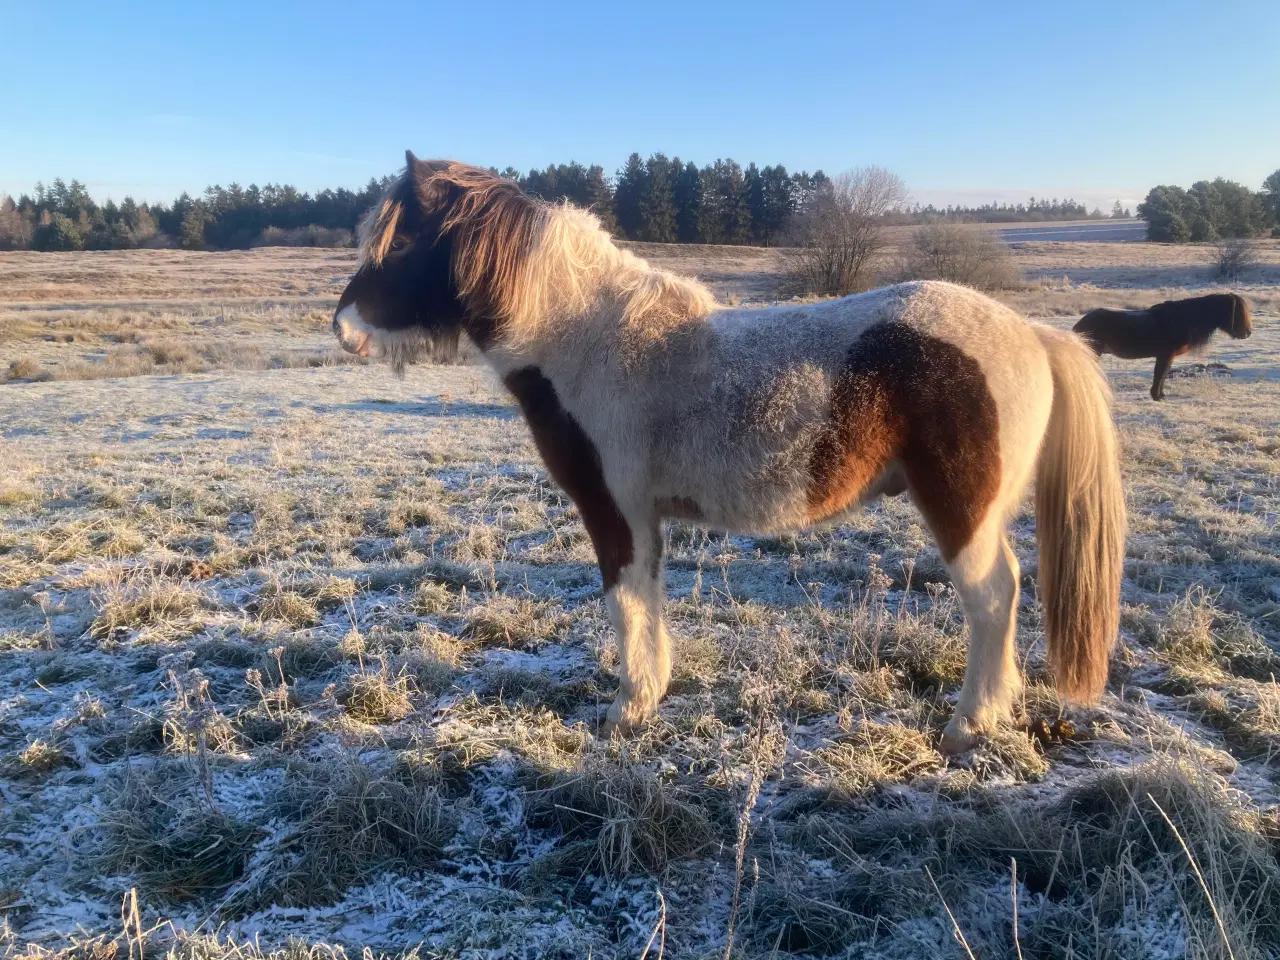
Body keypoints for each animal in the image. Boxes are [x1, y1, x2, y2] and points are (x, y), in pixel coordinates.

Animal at [335, 152, 1126, 752]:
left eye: (399, 244)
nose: (343, 328)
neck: (588, 341)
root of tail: (1033, 335)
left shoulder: (615, 513)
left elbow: (626, 604)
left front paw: (627, 712)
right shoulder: (645, 519)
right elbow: (648, 602)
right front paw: (650, 695)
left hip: (963, 509)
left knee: (994, 599)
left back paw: (968, 726)